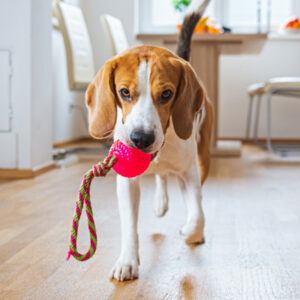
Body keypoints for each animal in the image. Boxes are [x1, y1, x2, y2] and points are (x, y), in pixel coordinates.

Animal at [86, 0, 213, 282]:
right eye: (124, 92)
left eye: (166, 94)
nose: (141, 138)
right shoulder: (127, 182)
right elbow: (129, 226)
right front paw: (127, 261)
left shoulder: (190, 173)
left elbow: (198, 213)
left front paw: (190, 231)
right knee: (161, 176)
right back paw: (160, 202)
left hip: (203, 159)